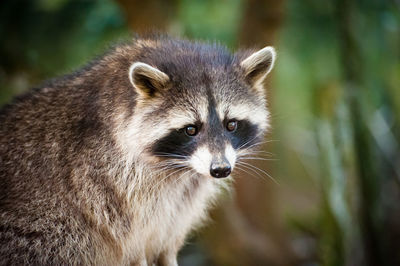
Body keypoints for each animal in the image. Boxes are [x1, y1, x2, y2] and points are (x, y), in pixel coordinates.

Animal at [0, 35, 276, 266]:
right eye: (190, 129)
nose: (220, 169)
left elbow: (166, 243)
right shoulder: (111, 187)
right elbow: (133, 246)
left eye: (231, 125)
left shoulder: (179, 204)